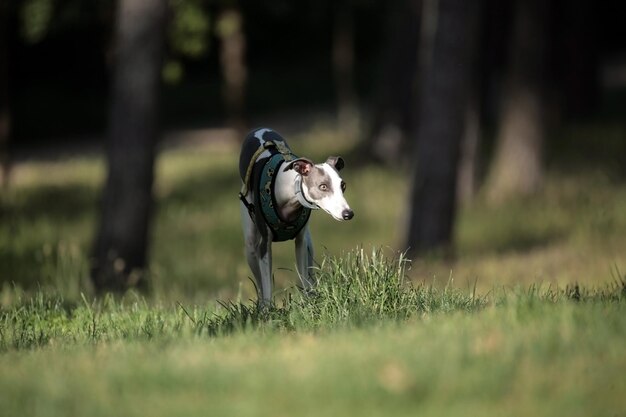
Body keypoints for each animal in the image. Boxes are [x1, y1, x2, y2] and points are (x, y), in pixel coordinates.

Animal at [238, 127, 354, 302]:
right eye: (323, 186)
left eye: (343, 185)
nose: (348, 213)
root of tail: (260, 129)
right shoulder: (264, 246)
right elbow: (267, 286)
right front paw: (268, 308)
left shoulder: (301, 242)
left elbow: (304, 279)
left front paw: (308, 303)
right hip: (251, 245)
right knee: (259, 283)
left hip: (309, 243)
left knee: (310, 275)